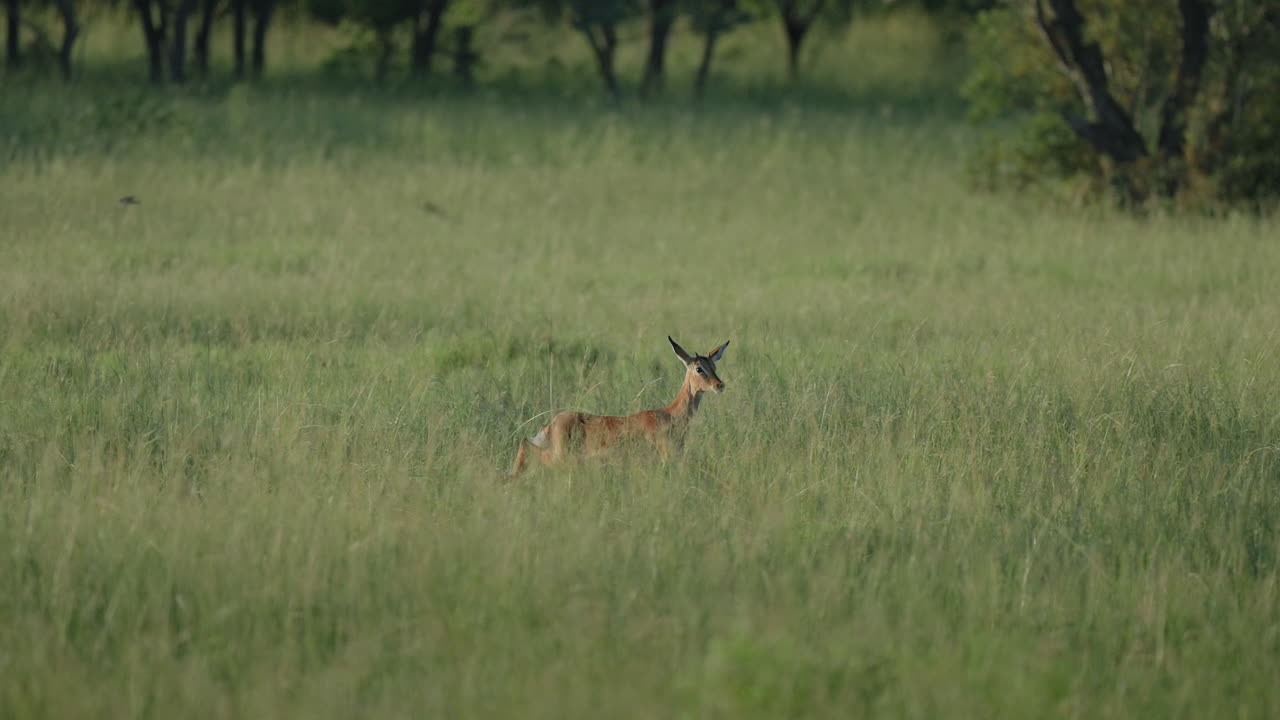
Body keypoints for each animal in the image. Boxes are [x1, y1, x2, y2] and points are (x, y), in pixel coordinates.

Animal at [506, 336, 729, 478]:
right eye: (699, 368)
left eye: (714, 366)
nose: (720, 385)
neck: (670, 415)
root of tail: (551, 424)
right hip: (560, 456)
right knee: (525, 444)